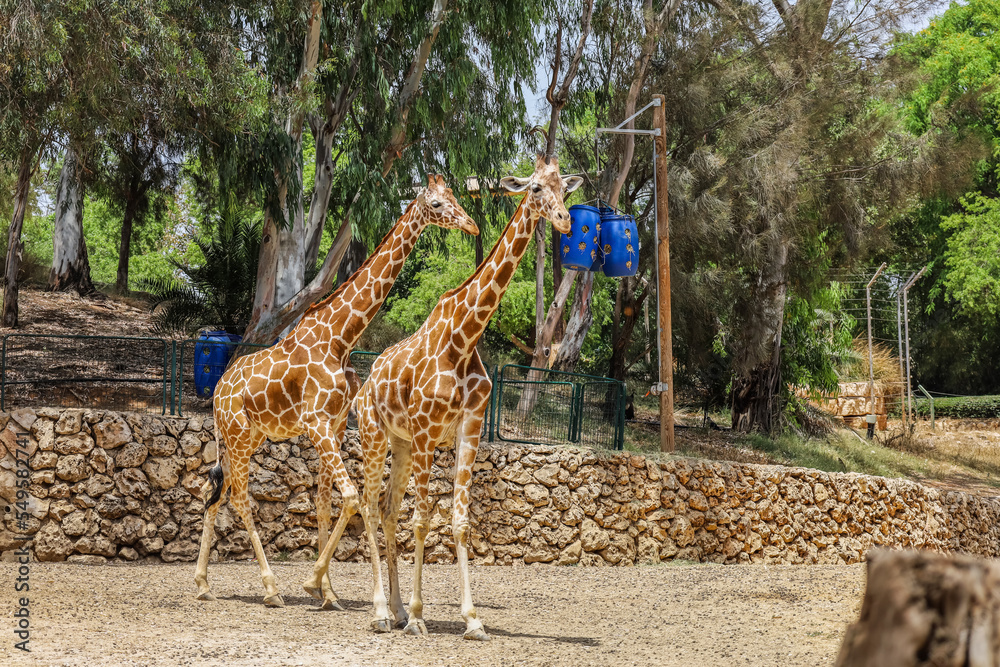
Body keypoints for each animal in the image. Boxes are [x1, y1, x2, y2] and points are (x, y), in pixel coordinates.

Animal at [194, 175, 480, 608]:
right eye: (436, 204)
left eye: (455, 198)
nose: (472, 226)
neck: (341, 337)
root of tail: (217, 391)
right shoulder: (316, 423)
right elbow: (349, 498)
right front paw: (314, 583)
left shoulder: (336, 422)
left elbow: (325, 504)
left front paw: (327, 591)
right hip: (241, 436)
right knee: (240, 498)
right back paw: (271, 588)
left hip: (242, 437)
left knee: (216, 491)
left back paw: (203, 583)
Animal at [304, 154, 584, 640]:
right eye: (534, 188)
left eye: (563, 189)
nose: (566, 221)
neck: (464, 337)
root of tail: (367, 380)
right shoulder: (425, 431)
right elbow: (421, 520)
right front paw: (419, 616)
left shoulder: (468, 429)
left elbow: (459, 521)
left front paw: (471, 619)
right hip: (376, 436)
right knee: (371, 507)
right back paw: (381, 611)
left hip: (399, 445)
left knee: (387, 509)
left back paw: (394, 609)